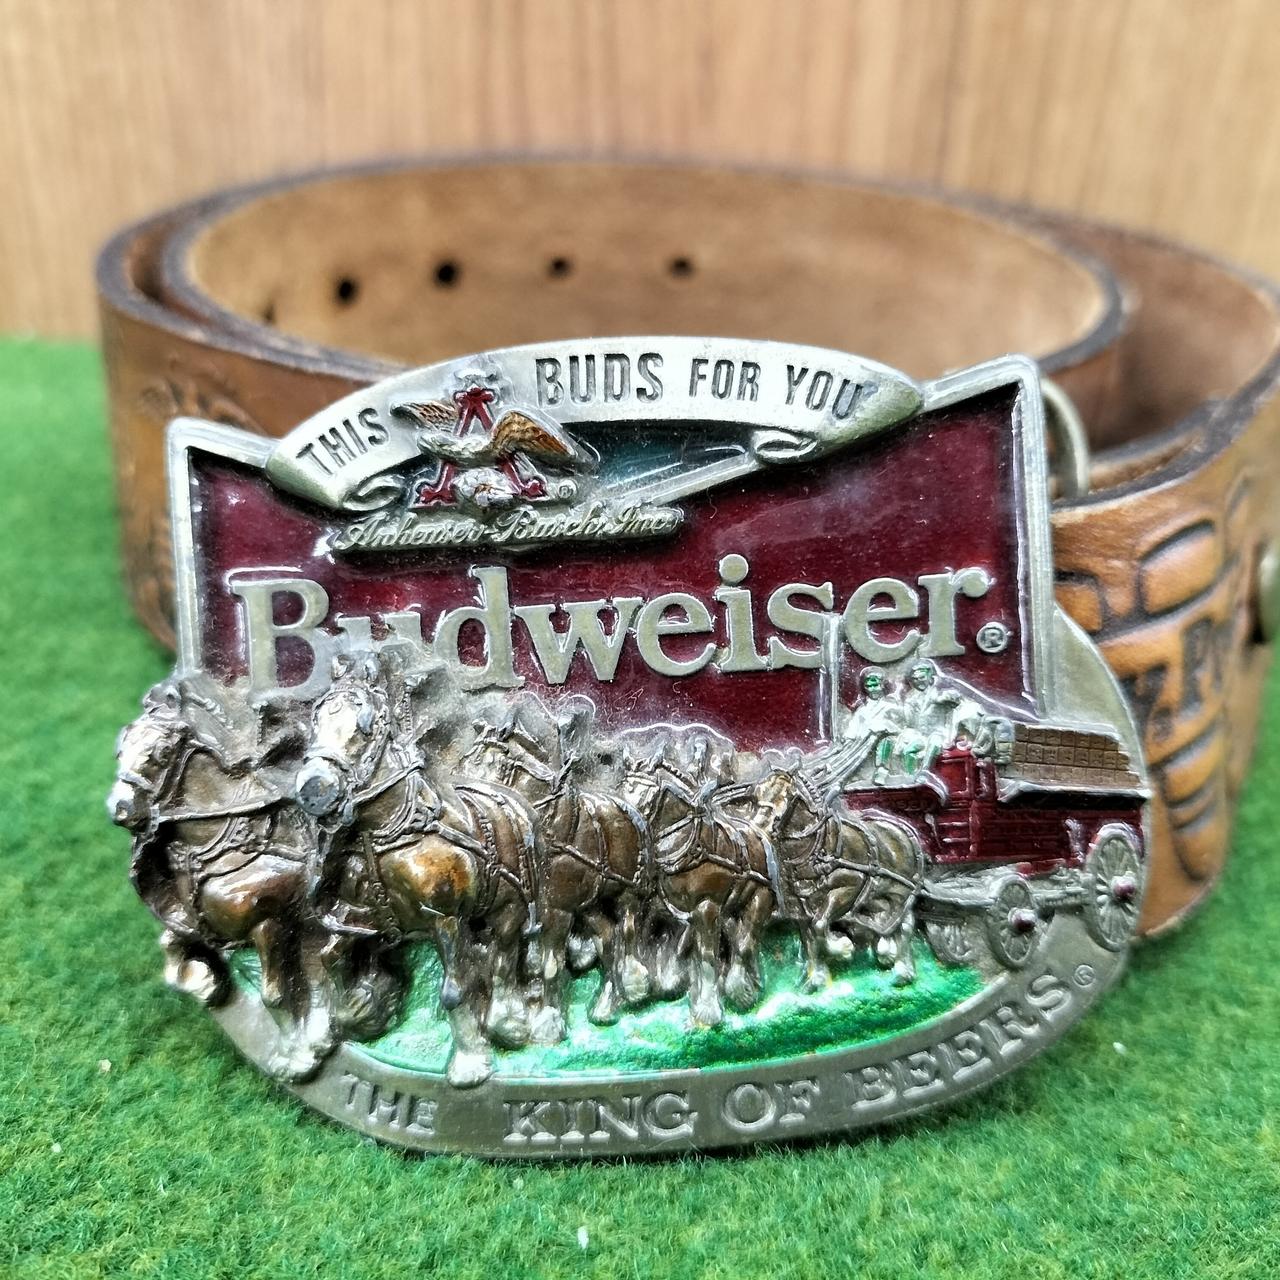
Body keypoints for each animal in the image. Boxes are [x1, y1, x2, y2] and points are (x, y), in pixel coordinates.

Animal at [108, 684, 333, 1081]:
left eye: (160, 753)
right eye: (123, 746)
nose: (120, 808)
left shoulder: (271, 925)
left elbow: (277, 996)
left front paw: (298, 1055)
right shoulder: (195, 920)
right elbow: (170, 945)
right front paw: (203, 981)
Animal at [294, 660, 538, 1087]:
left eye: (365, 725)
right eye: (317, 717)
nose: (314, 790)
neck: (393, 830)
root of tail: (506, 800)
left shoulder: (446, 919)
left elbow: (454, 990)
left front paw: (470, 1062)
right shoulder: (360, 914)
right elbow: (328, 960)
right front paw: (356, 1014)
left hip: (507, 908)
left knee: (504, 960)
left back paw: (506, 1023)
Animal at [460, 711, 651, 1041]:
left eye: (489, 762)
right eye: (466, 758)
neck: (546, 828)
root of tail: (630, 812)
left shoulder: (557, 911)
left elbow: (550, 965)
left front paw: (547, 1024)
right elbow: (508, 962)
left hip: (626, 895)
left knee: (626, 933)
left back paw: (633, 987)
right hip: (588, 904)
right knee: (608, 938)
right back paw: (605, 1006)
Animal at [620, 740, 775, 1027]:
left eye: (646, 794)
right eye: (621, 788)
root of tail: (759, 834)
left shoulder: (707, 906)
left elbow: (707, 956)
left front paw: (707, 1009)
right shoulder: (656, 901)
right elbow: (629, 929)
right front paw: (636, 983)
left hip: (759, 899)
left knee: (746, 941)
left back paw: (741, 987)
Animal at [748, 759, 924, 989]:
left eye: (786, 794)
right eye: (756, 793)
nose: (758, 826)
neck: (816, 847)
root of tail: (903, 829)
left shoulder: (848, 888)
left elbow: (820, 926)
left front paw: (842, 948)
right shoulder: (800, 905)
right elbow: (809, 939)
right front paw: (815, 978)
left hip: (900, 892)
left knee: (904, 926)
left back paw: (903, 971)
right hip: (877, 895)